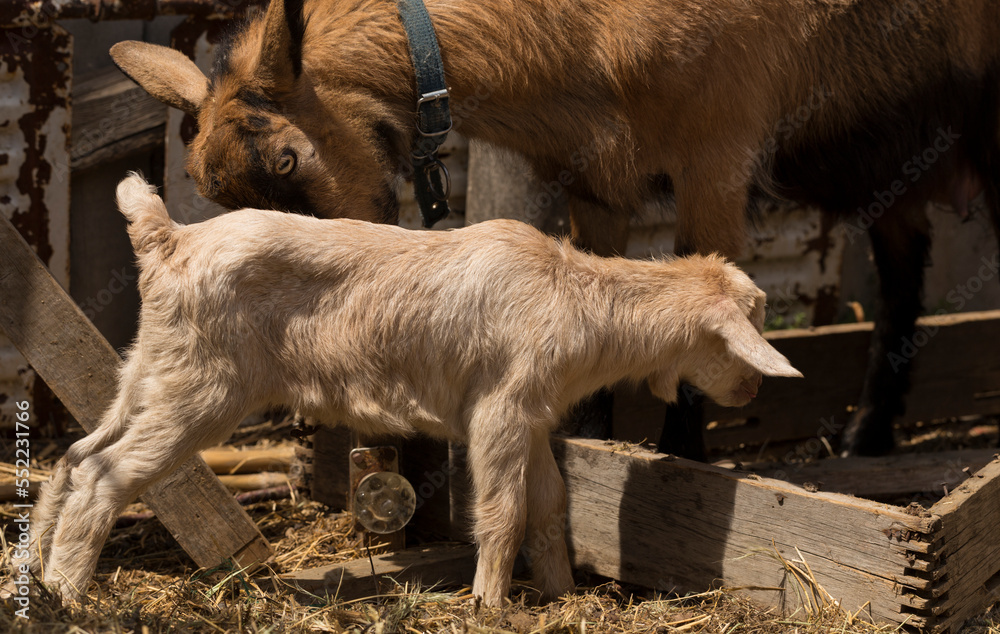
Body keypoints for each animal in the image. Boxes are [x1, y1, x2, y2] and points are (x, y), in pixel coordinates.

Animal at [20, 173, 799, 606]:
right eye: (750, 328)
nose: (747, 398)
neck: (574, 298)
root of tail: (168, 237)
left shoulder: (534, 418)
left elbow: (551, 508)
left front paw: (563, 596)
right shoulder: (499, 411)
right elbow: (504, 511)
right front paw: (490, 606)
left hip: (149, 368)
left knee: (77, 457)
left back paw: (36, 575)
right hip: (203, 387)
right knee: (108, 473)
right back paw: (71, 592)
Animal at [110, 0, 1000, 457]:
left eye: (289, 158)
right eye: (204, 189)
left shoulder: (718, 151)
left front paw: (681, 463)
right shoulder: (595, 178)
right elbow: (598, 319)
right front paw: (591, 439)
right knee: (903, 274)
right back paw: (869, 434)